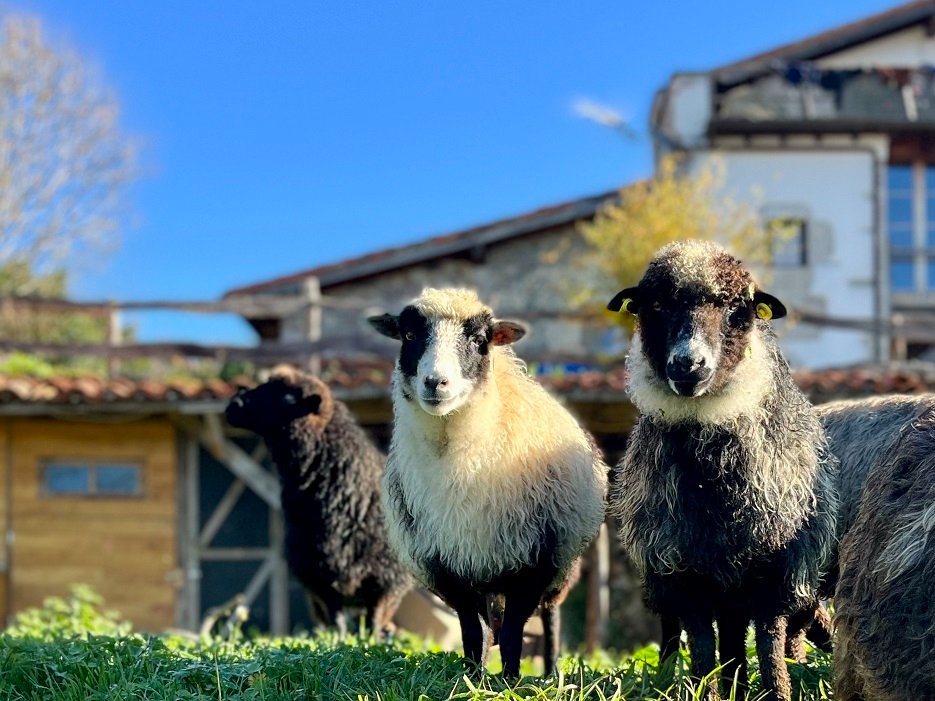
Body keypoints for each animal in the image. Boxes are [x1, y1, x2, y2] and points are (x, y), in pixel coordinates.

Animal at [224, 367, 412, 637]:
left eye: (289, 398)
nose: (234, 404)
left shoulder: (387, 579)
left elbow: (373, 620)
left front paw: (371, 639)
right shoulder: (320, 577)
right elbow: (338, 621)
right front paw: (340, 640)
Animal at [368, 287, 607, 678]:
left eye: (479, 340)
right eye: (409, 335)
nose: (436, 383)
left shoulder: (535, 561)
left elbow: (512, 631)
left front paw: (510, 681)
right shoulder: (448, 567)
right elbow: (472, 631)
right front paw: (472, 677)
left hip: (561, 567)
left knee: (550, 617)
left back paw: (550, 673)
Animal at [608, 240, 836, 701]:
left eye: (735, 307)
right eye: (655, 305)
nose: (688, 365)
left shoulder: (778, 572)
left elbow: (770, 645)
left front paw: (780, 691)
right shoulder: (684, 573)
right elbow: (701, 650)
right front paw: (708, 691)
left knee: (787, 635)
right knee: (717, 641)